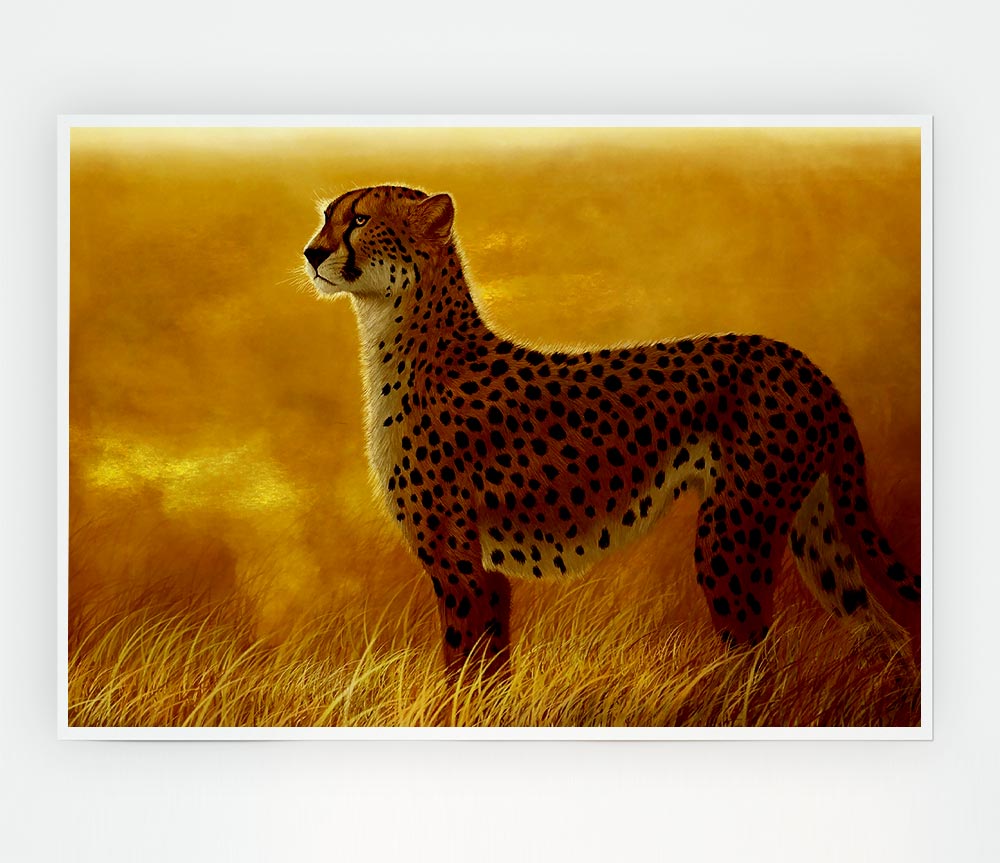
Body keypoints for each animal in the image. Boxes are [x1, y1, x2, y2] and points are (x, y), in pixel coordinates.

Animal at [303, 184, 921, 677]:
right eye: (328, 217)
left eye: (360, 220)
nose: (312, 253)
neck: (400, 331)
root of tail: (799, 359)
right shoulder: (487, 572)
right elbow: (488, 672)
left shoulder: (456, 565)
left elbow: (460, 669)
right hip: (812, 526)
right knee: (886, 632)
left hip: (731, 531)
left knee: (757, 653)